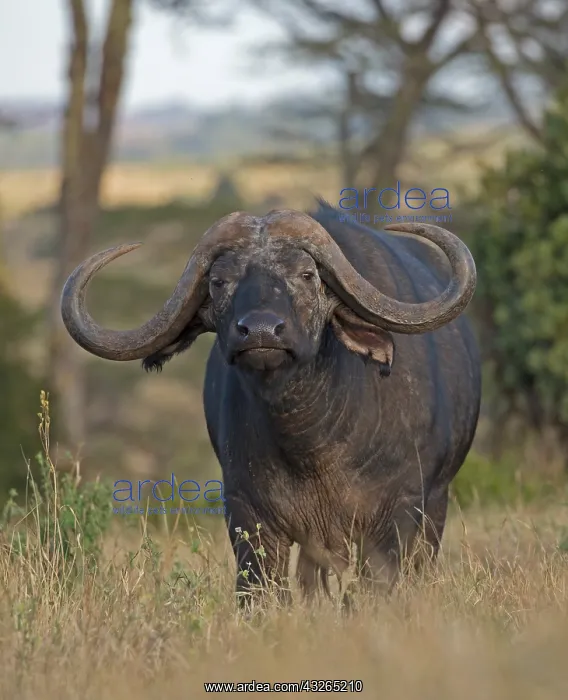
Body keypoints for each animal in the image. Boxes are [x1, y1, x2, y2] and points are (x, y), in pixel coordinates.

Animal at [61, 201, 480, 606]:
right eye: (219, 281)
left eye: (307, 275)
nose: (261, 331)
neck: (312, 444)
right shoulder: (248, 514)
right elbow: (261, 593)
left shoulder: (401, 512)